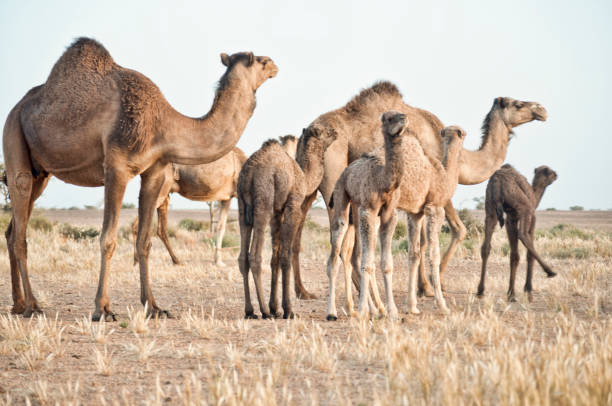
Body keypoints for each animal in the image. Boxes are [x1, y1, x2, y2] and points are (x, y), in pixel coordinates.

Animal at [4, 37, 278, 320]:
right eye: (261, 61)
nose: (275, 65)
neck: (164, 124)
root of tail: (17, 107)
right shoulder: (117, 167)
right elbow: (108, 238)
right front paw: (102, 309)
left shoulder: (155, 170)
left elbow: (144, 240)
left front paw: (154, 307)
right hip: (14, 137)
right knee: (20, 227)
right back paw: (33, 306)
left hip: (41, 173)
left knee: (12, 230)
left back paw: (18, 304)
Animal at [238, 128, 334, 318]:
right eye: (324, 132)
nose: (335, 132)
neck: (304, 177)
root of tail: (250, 173)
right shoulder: (292, 205)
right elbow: (285, 256)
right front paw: (287, 310)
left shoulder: (277, 214)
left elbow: (275, 257)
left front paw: (275, 307)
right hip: (263, 200)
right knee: (254, 255)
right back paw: (264, 311)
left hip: (242, 205)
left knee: (243, 256)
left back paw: (250, 311)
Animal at [290, 81, 548, 298]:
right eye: (518, 103)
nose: (541, 109)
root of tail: (307, 133)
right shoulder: (435, 184)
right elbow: (451, 232)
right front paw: (431, 285)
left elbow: (430, 237)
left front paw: (428, 285)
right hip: (334, 178)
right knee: (340, 238)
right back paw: (364, 294)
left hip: (311, 184)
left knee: (300, 230)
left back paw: (305, 292)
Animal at [478, 164, 560, 302]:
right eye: (550, 172)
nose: (556, 175)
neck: (534, 196)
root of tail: (497, 181)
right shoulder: (531, 216)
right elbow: (528, 253)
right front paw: (528, 291)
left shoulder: (511, 218)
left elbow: (514, 255)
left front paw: (511, 293)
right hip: (523, 206)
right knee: (523, 235)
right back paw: (550, 271)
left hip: (490, 206)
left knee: (486, 246)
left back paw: (480, 291)